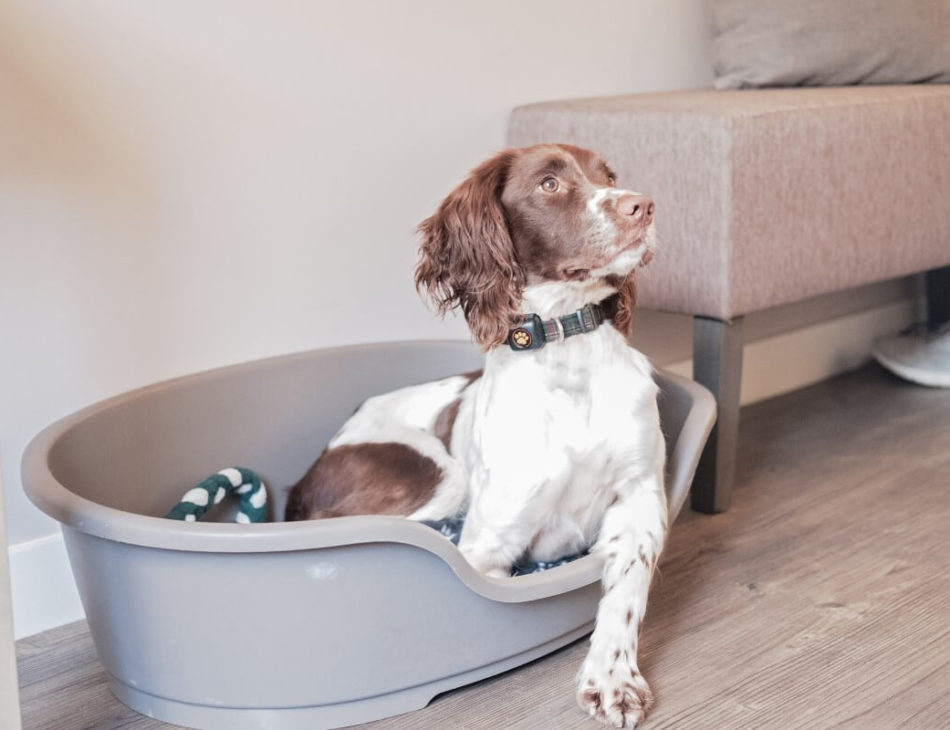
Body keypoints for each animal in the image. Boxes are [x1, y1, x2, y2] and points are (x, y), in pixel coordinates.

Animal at [286, 144, 664, 728]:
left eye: (609, 176)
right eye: (550, 183)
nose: (642, 206)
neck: (568, 354)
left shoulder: (641, 499)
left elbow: (626, 590)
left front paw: (613, 679)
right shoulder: (490, 549)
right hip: (436, 479)